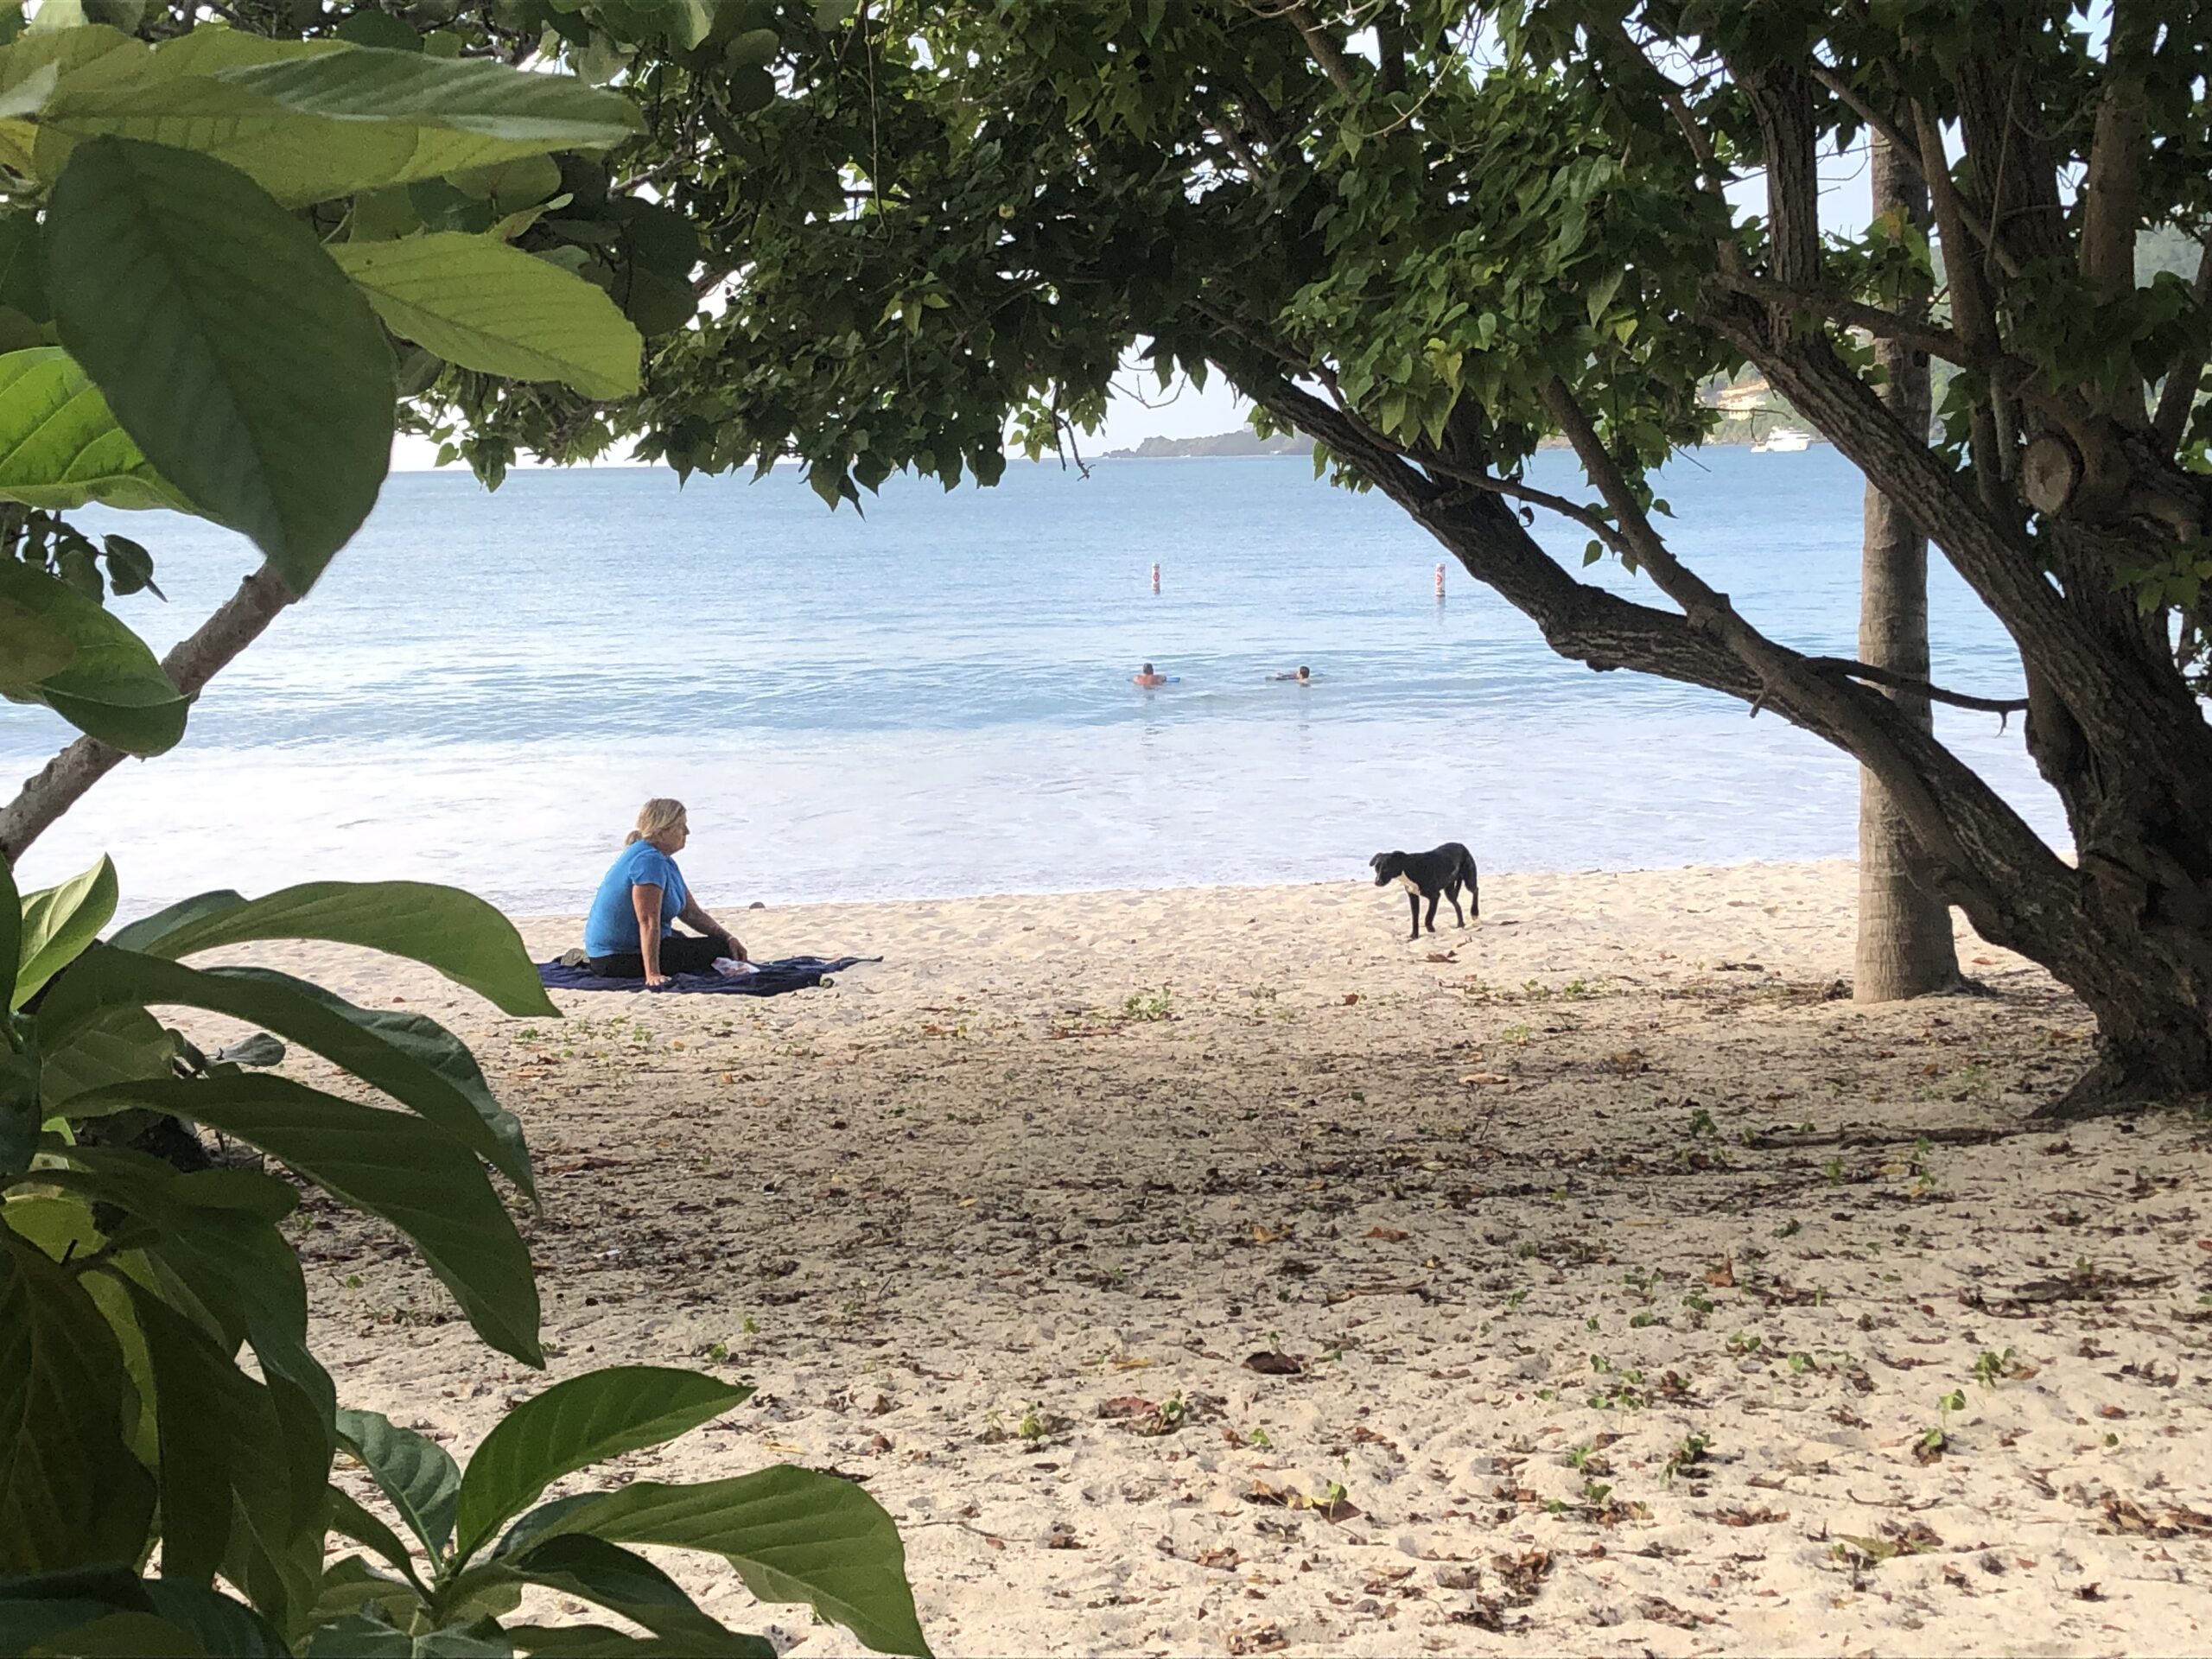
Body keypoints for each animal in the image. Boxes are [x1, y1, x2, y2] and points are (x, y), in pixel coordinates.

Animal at [1362, 849, 1486, 942]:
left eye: (1386, 869)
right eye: (1376, 869)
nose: (1377, 882)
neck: (1409, 868)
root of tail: (1462, 846)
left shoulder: (1435, 896)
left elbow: (1428, 916)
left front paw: (1430, 929)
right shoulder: (1413, 897)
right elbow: (1415, 918)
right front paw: (1414, 936)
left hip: (1469, 879)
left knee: (1475, 890)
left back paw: (1474, 912)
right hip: (1449, 891)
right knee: (1457, 905)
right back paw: (1460, 924)